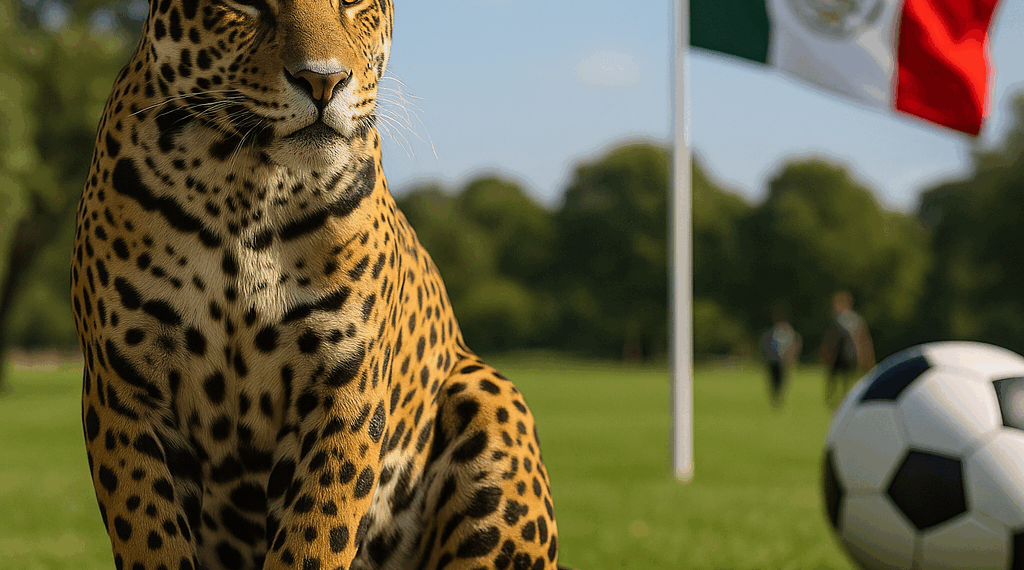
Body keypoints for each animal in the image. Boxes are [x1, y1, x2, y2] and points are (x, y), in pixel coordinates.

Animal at [69, 1, 571, 569]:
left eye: (352, 3)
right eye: (244, 5)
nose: (323, 81)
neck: (243, 191)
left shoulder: (344, 382)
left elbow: (315, 537)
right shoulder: (125, 386)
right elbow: (150, 533)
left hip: (492, 395)